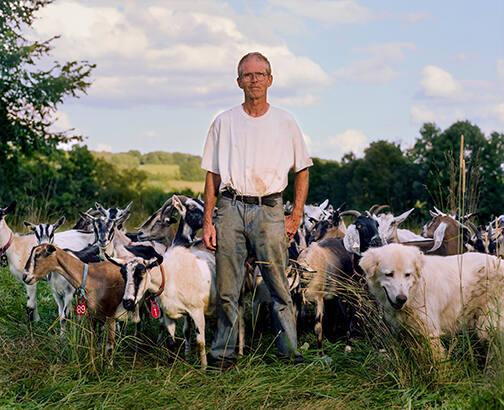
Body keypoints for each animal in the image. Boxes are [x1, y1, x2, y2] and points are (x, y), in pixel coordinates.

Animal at [358, 243, 504, 356]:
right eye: (389, 274)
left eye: (407, 274)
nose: (401, 299)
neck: (414, 291)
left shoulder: (430, 333)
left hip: (488, 324)